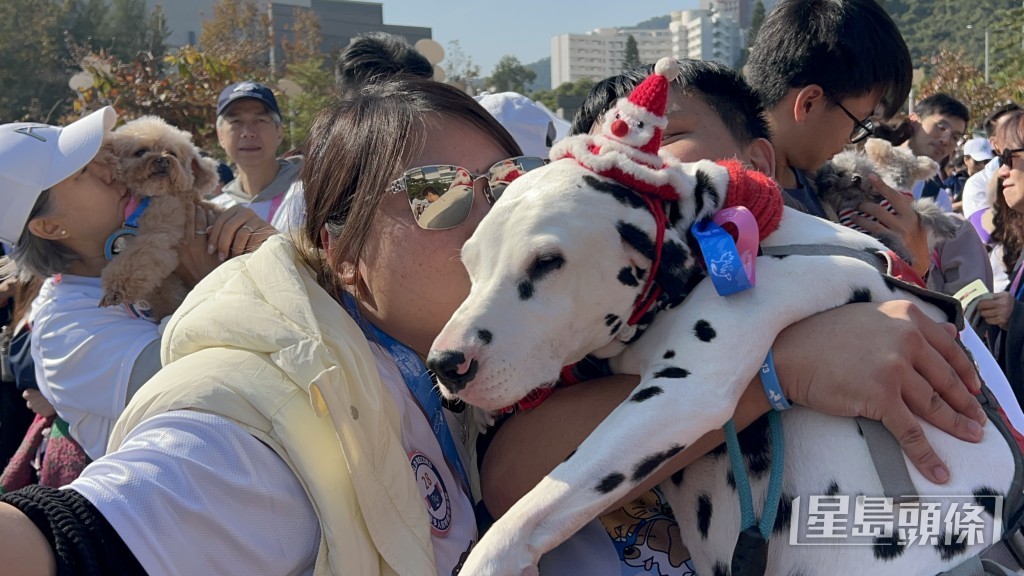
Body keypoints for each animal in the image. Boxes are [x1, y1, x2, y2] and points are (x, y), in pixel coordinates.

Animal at [98, 113, 219, 315]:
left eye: (172, 153)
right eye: (140, 152)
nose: (163, 160)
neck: (151, 196)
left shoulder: (158, 234)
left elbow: (137, 258)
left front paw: (115, 291)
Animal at [811, 136, 954, 262]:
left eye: (863, 173)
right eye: (840, 173)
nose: (857, 178)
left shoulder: (903, 205)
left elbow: (927, 208)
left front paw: (947, 226)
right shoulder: (869, 231)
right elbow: (887, 238)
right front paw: (903, 255)